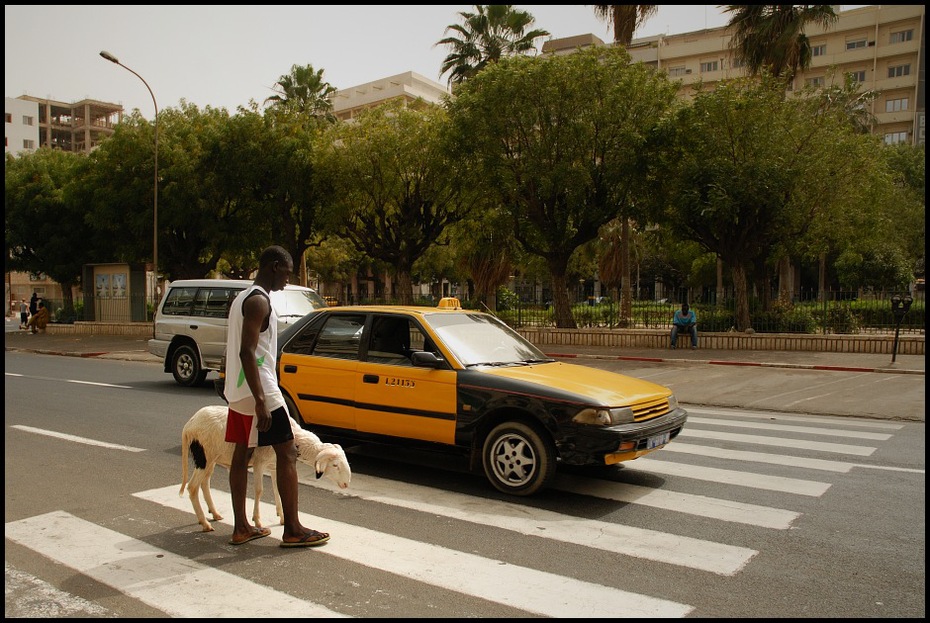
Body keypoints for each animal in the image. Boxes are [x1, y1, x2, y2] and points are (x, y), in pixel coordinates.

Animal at [179, 408, 350, 532]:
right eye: (335, 465)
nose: (346, 484)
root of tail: (189, 426)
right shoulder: (259, 463)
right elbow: (259, 490)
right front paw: (258, 521)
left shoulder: (275, 466)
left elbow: (278, 490)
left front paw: (282, 517)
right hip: (204, 457)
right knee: (192, 487)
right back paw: (204, 523)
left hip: (211, 459)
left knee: (204, 483)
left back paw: (215, 513)